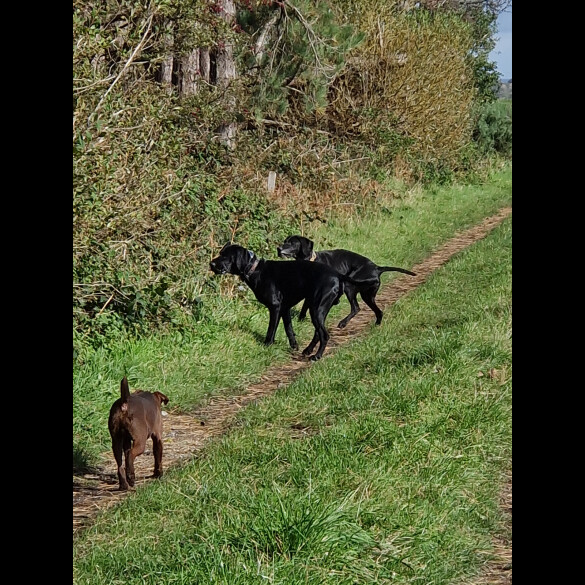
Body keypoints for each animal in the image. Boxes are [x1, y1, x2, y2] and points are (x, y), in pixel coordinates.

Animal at [210, 242, 374, 360]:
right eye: (220, 253)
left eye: (225, 256)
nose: (211, 264)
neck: (255, 269)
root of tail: (337, 275)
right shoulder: (285, 309)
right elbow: (289, 329)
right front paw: (294, 346)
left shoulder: (275, 307)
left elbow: (271, 330)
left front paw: (267, 346)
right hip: (318, 310)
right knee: (318, 333)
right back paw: (308, 350)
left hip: (316, 309)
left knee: (324, 335)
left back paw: (317, 356)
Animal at [278, 236, 416, 328]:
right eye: (284, 241)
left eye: (292, 243)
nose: (278, 248)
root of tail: (377, 268)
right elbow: (305, 306)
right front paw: (301, 319)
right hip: (368, 295)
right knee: (378, 311)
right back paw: (376, 325)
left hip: (350, 287)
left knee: (356, 308)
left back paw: (343, 323)